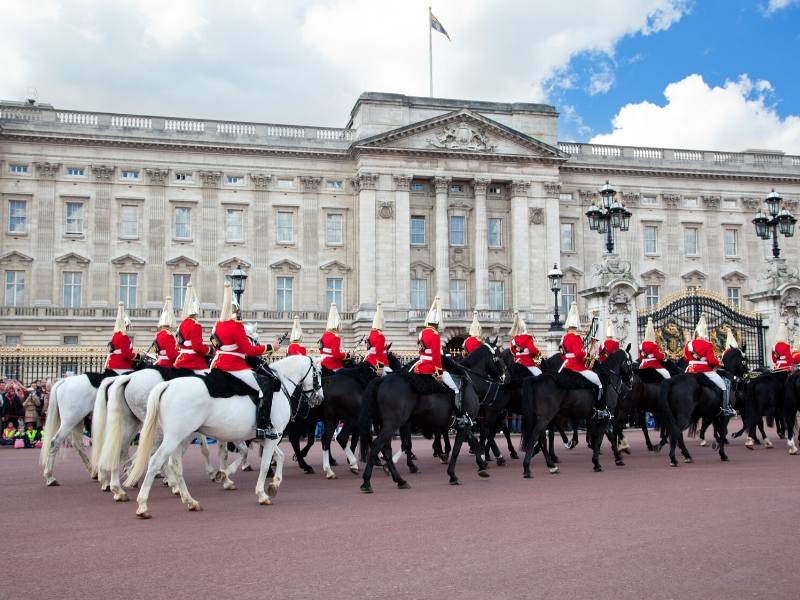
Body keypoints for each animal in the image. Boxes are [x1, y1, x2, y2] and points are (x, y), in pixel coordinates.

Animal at [126, 354, 320, 516]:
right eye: (318, 373)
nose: (319, 397)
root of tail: (168, 384)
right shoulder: (273, 436)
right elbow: (265, 464)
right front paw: (261, 493)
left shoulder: (265, 437)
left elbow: (278, 457)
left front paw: (273, 484)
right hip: (175, 437)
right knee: (155, 461)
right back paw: (143, 504)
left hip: (179, 438)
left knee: (174, 465)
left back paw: (189, 500)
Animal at [358, 344, 494, 490]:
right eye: (497, 356)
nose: (503, 377)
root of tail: (382, 380)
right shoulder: (463, 424)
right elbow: (457, 449)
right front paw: (452, 474)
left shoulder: (463, 423)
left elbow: (473, 440)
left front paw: (481, 464)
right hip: (393, 423)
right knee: (377, 444)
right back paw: (367, 481)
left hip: (388, 424)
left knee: (386, 448)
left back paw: (400, 480)